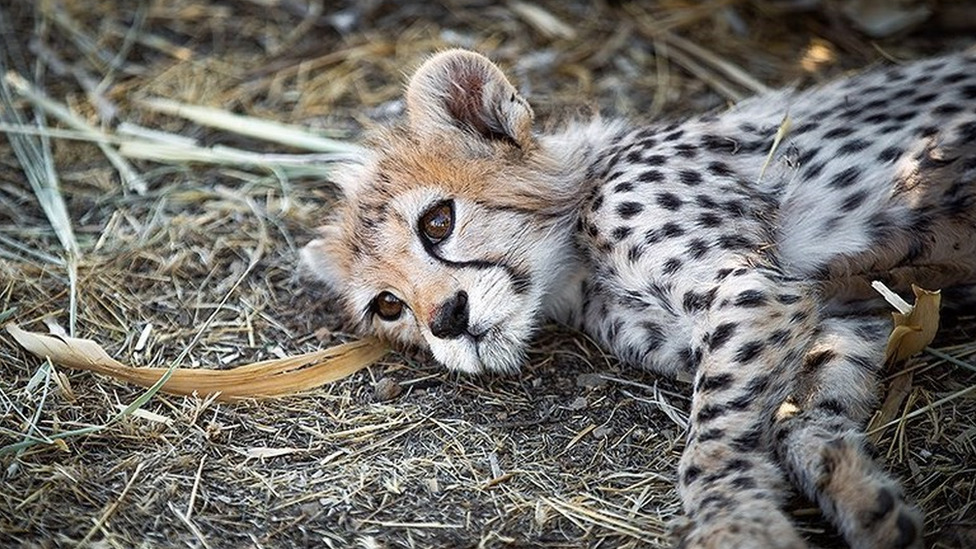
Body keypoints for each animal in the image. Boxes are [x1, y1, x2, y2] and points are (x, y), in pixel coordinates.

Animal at [301, 48, 976, 548]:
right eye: (388, 306)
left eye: (437, 222)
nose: (447, 319)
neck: (571, 269)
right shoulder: (847, 310)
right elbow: (806, 417)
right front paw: (868, 501)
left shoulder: (758, 287)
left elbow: (712, 438)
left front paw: (735, 523)